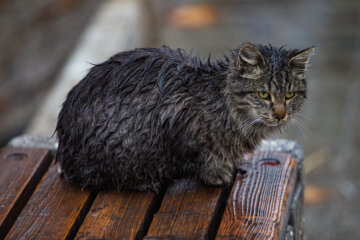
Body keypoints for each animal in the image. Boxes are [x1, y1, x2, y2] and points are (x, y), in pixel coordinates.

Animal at [54, 43, 314, 193]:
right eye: (264, 95)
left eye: (289, 95)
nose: (280, 114)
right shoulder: (175, 116)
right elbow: (199, 158)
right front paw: (216, 174)